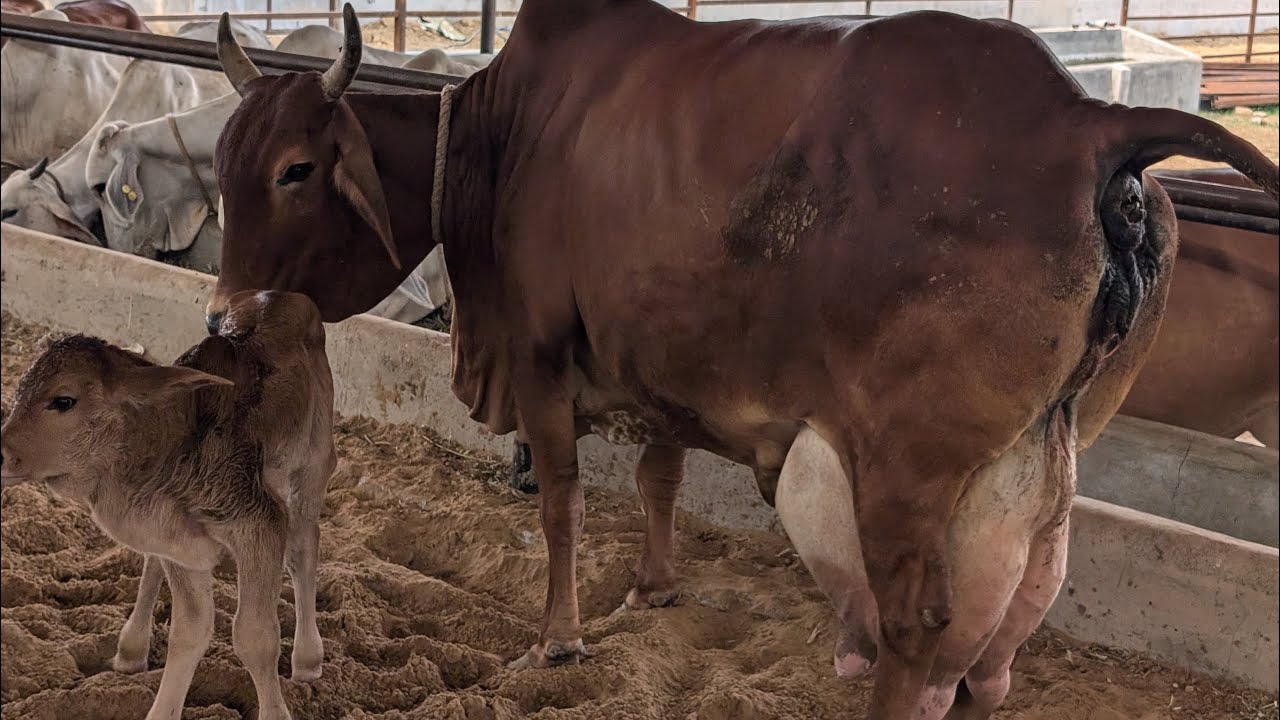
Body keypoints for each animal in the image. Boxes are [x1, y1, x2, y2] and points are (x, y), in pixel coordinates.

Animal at [0, 290, 335, 720]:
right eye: (18, 392)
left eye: (63, 400)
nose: (1, 453)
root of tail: (281, 295)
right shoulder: (179, 546)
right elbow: (190, 632)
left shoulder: (259, 523)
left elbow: (254, 636)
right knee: (152, 564)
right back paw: (132, 645)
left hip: (313, 468)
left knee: (304, 548)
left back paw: (309, 658)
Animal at [207, 5, 1278, 718]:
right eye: (221, 162)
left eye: (296, 169)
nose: (222, 318)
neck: (494, 141)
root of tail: (1091, 122)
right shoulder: (657, 366)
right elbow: (660, 477)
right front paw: (654, 586)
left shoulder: (542, 358)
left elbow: (562, 505)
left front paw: (560, 635)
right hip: (1048, 452)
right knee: (1005, 626)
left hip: (906, 466)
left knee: (918, 629)